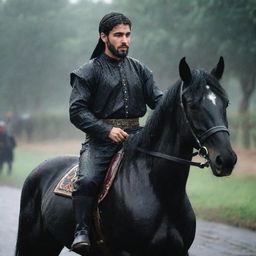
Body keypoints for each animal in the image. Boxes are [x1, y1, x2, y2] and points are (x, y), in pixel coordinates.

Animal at [15, 58, 237, 256]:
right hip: (33, 242)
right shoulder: (126, 252)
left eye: (225, 103)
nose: (226, 159)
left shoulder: (179, 251)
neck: (161, 191)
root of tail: (38, 170)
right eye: (192, 105)